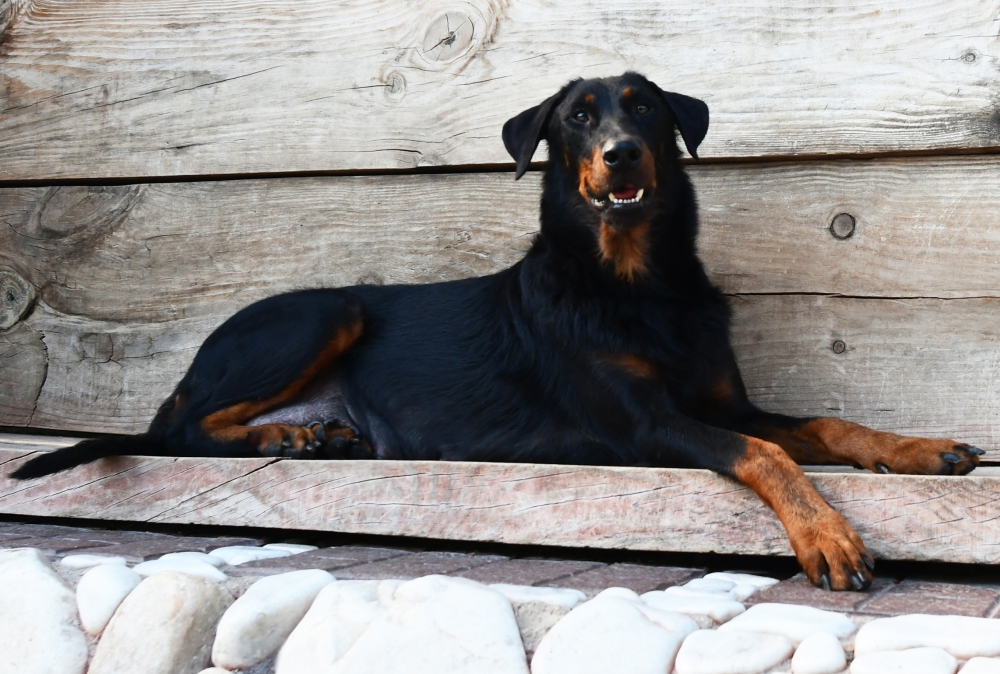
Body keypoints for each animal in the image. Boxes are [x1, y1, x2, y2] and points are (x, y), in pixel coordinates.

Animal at [13, 72, 984, 588]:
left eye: (644, 107)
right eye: (577, 118)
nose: (621, 154)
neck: (636, 281)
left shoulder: (720, 401)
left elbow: (823, 424)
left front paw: (921, 450)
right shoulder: (646, 426)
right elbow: (769, 454)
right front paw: (827, 534)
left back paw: (308, 434)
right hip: (328, 309)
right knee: (178, 425)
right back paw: (286, 431)